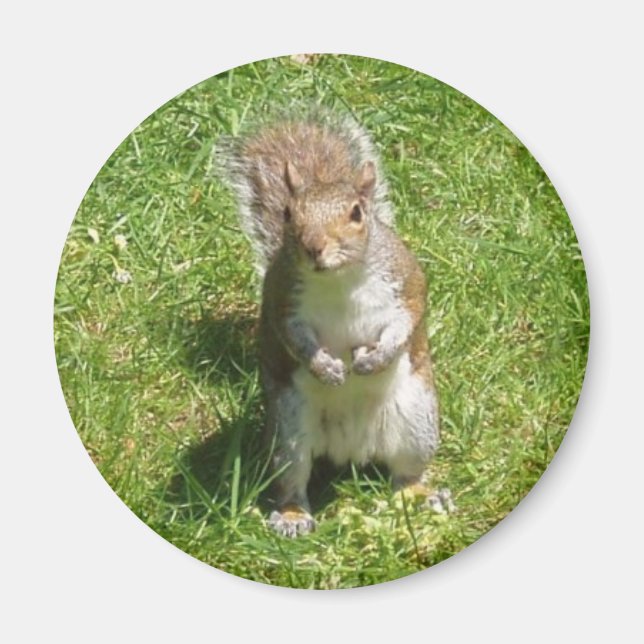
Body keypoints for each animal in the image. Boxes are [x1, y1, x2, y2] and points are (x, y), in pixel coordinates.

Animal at [218, 108, 448, 537]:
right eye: (288, 214)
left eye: (357, 213)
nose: (313, 247)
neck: (339, 280)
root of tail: (351, 449)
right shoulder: (282, 301)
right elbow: (293, 339)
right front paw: (325, 367)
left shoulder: (406, 283)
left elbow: (407, 321)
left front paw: (374, 359)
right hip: (288, 431)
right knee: (292, 481)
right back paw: (292, 517)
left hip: (417, 420)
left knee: (406, 474)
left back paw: (422, 496)